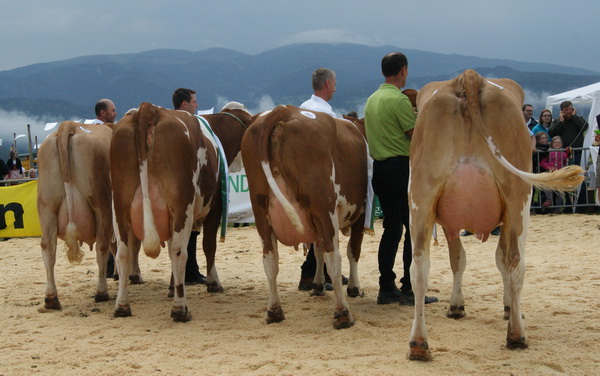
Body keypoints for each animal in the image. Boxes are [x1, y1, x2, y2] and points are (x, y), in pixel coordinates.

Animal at [37, 122, 115, 310]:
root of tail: (70, 125)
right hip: (102, 205)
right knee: (102, 246)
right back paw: (101, 292)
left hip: (47, 206)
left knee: (47, 247)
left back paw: (51, 298)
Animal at [110, 100, 253, 320]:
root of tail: (148, 109)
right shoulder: (214, 209)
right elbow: (208, 246)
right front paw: (213, 282)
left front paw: (171, 287)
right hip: (181, 205)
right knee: (179, 251)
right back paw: (180, 309)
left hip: (120, 207)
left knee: (124, 253)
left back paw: (122, 306)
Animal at [241, 106, 368, 328]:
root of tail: (284, 110)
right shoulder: (360, 212)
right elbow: (353, 250)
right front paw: (354, 288)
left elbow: (316, 250)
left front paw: (317, 285)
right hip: (324, 205)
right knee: (334, 257)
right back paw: (343, 313)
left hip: (261, 211)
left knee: (270, 260)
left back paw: (274, 311)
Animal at [406, 69, 584, 360]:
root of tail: (469, 76)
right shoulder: (507, 216)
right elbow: (500, 259)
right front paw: (509, 307)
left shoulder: (448, 222)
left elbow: (458, 259)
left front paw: (457, 305)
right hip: (519, 199)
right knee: (516, 262)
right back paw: (517, 335)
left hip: (421, 198)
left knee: (420, 267)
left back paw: (419, 344)